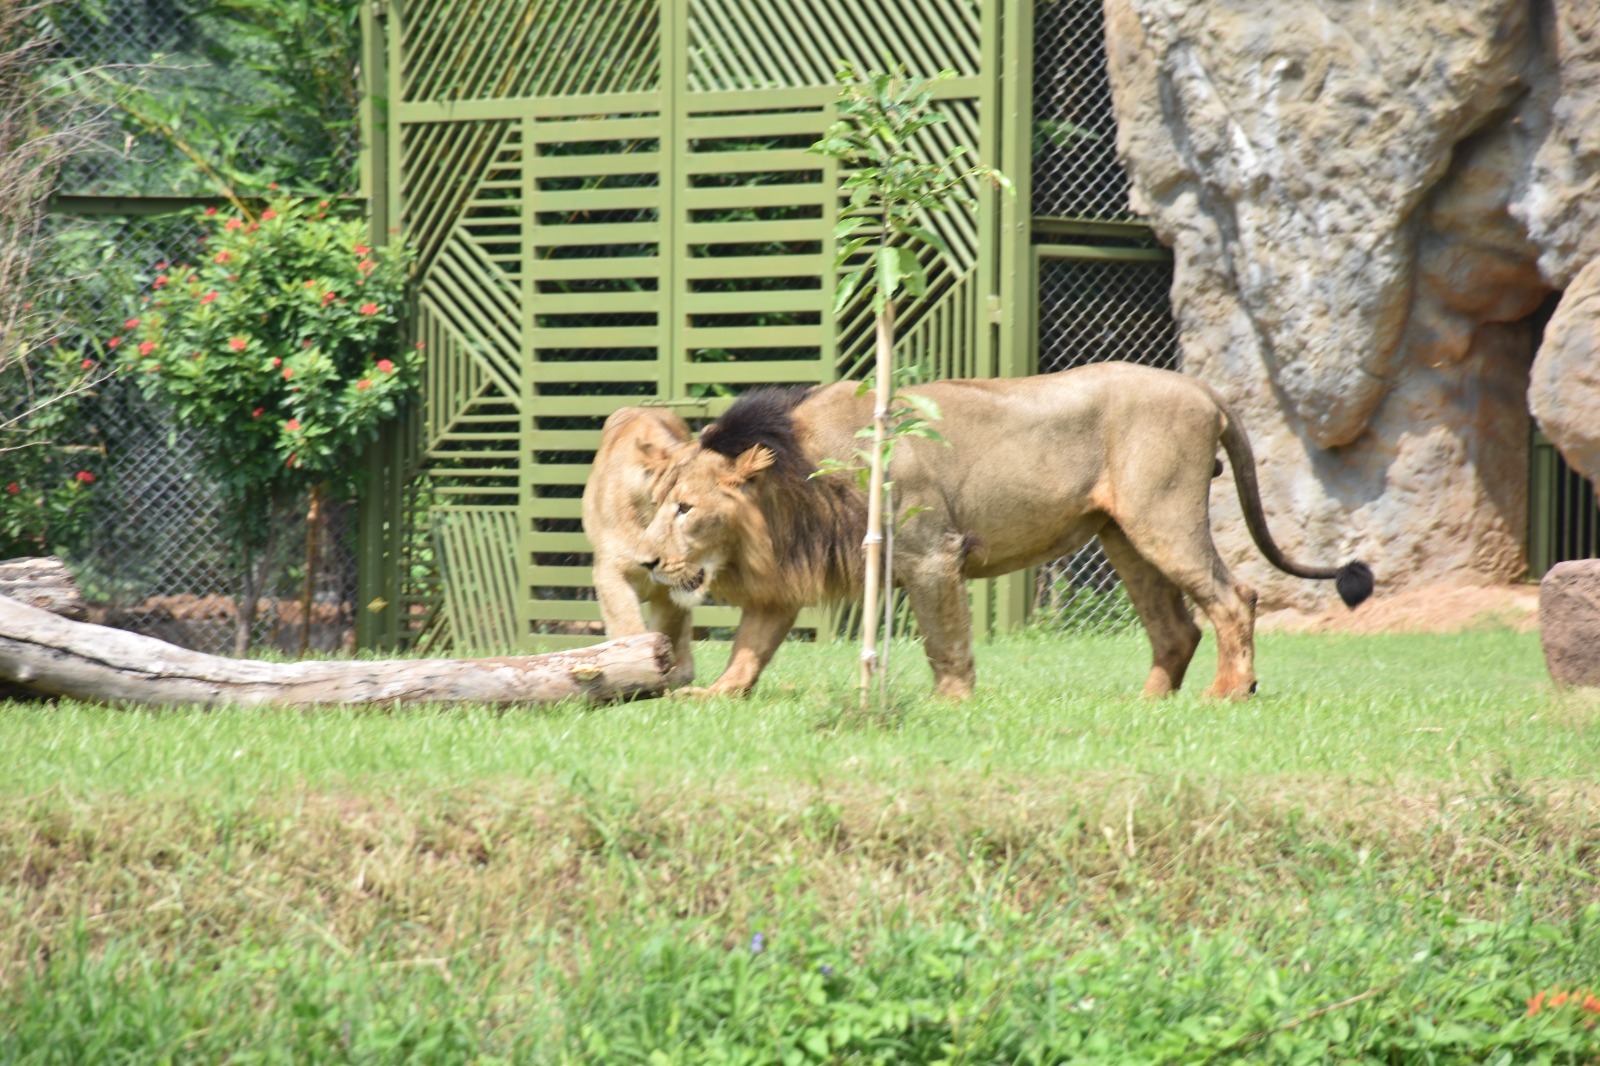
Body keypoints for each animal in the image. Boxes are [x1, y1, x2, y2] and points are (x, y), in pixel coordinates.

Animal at [630, 361, 1369, 701]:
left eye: (685, 509)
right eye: (658, 502)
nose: (645, 562)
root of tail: (1202, 389)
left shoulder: (930, 552)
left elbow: (945, 640)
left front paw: (950, 705)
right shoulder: (781, 586)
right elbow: (749, 648)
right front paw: (711, 696)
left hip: (1163, 516)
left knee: (1234, 597)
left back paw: (1228, 692)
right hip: (1122, 537)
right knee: (1176, 627)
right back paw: (1147, 703)